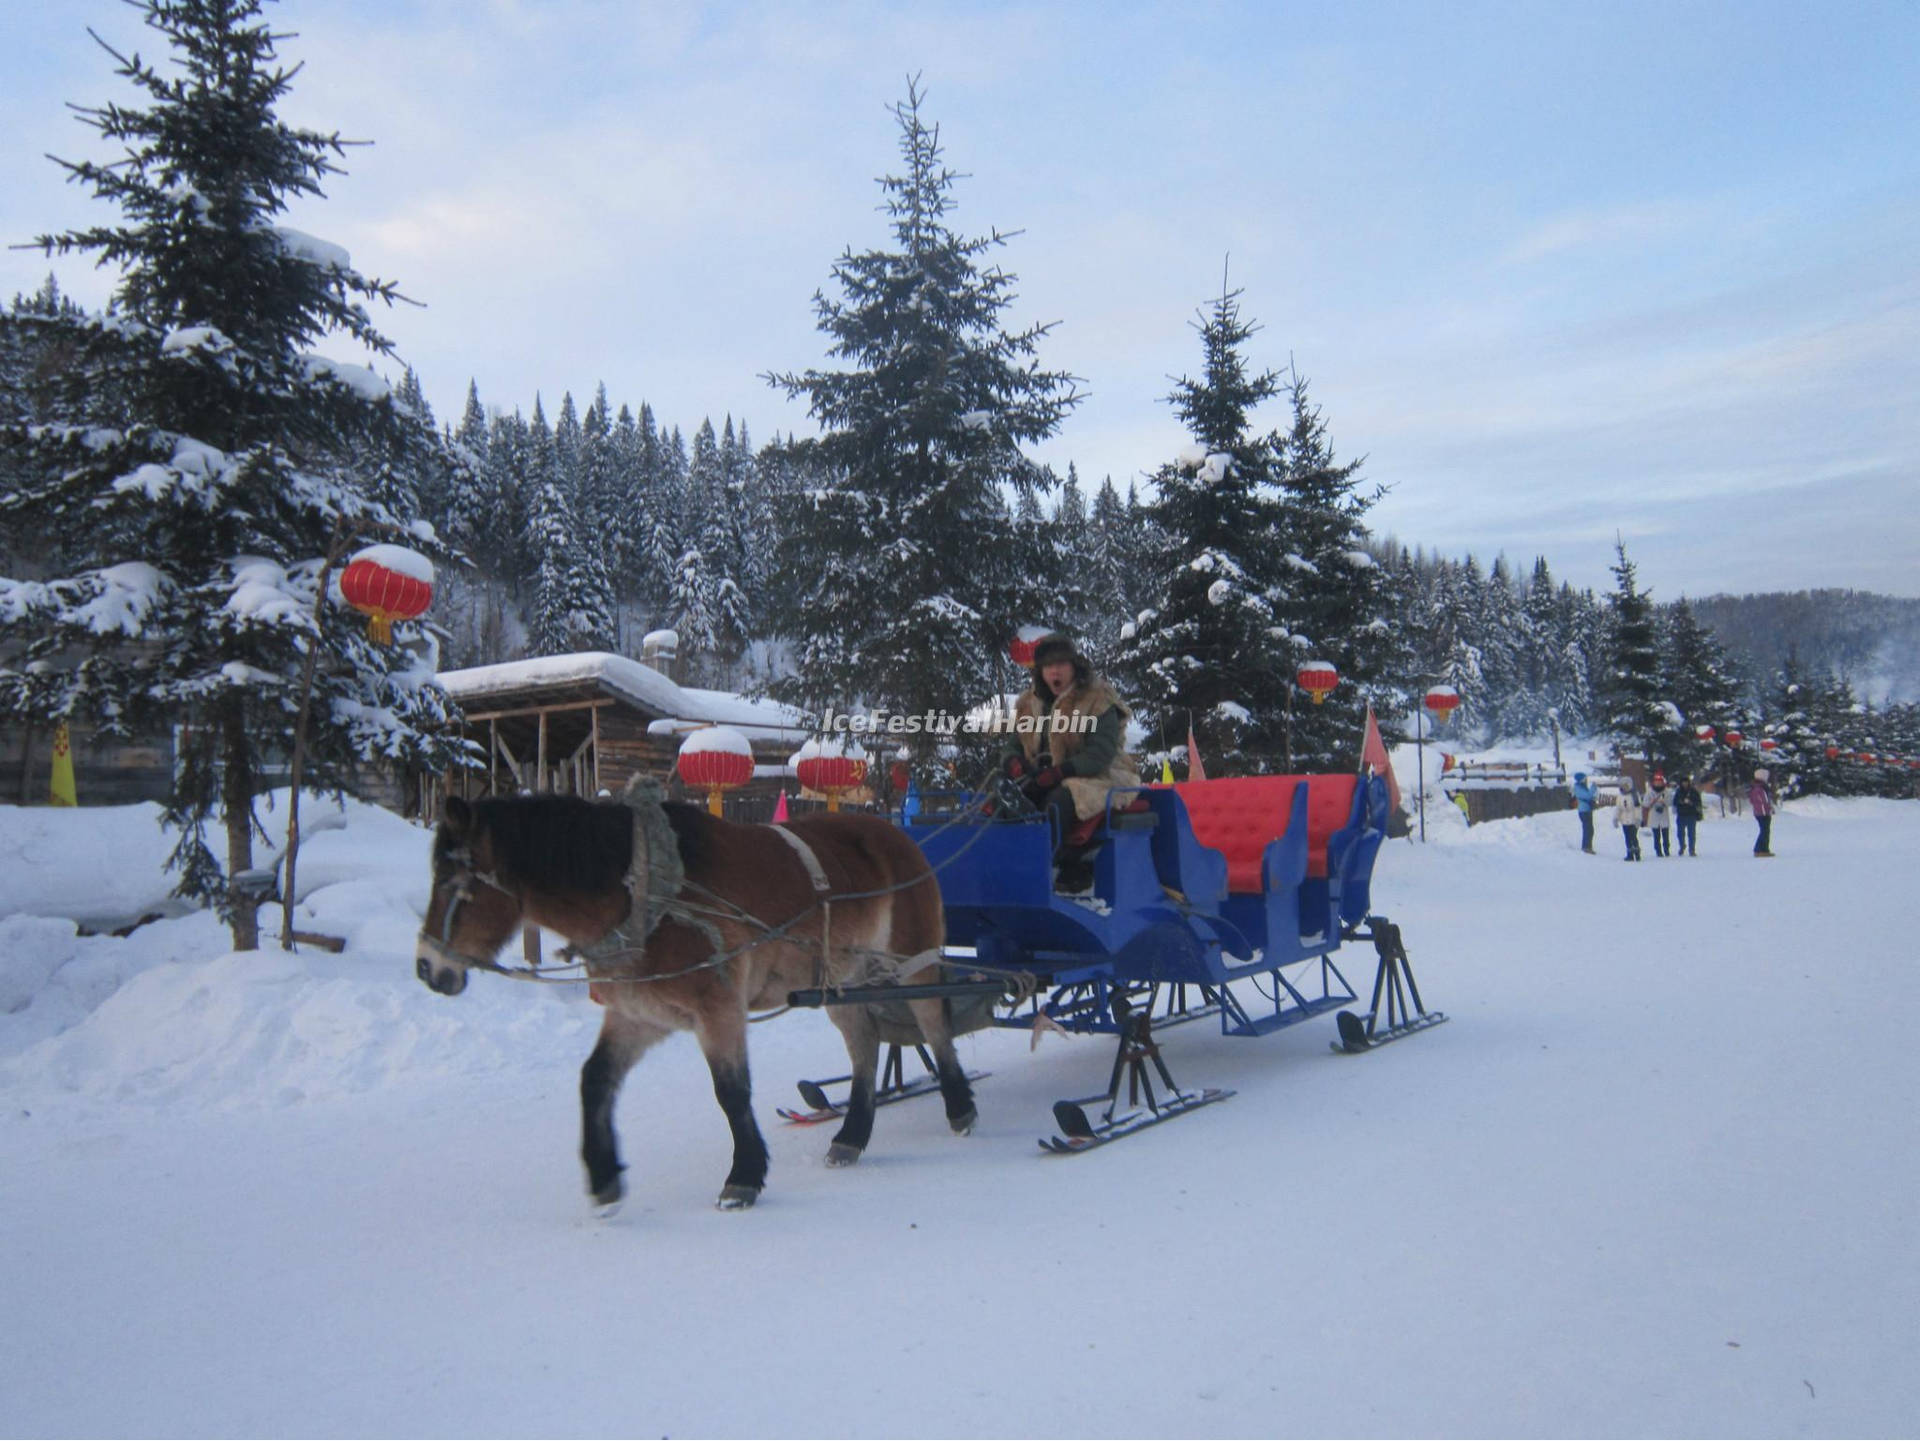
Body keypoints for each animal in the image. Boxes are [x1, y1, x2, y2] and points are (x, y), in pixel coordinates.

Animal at [410, 782, 967, 1212]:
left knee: (933, 1026)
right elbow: (595, 1081)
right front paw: (604, 1178)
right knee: (865, 1047)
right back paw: (852, 1136)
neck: (645, 889)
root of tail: (897, 834)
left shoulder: (718, 1009)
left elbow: (731, 1092)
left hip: (912, 962)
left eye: (455, 883)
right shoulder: (640, 1015)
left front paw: (743, 1177)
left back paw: (960, 1107)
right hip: (842, 981)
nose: (427, 968)